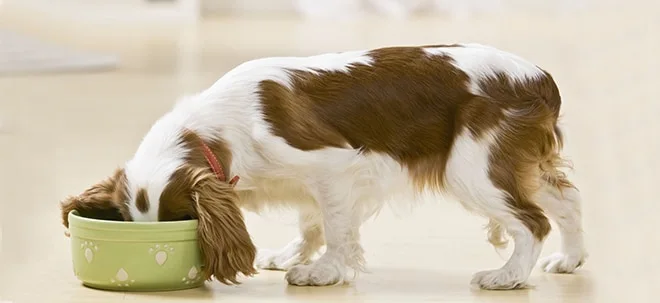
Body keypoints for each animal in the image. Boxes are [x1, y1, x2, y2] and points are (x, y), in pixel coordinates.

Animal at [60, 44, 588, 290]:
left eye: (183, 221)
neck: (219, 128)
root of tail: (540, 78)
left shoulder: (332, 167)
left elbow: (335, 227)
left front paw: (323, 272)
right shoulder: (308, 183)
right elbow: (311, 221)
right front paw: (295, 254)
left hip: (473, 168)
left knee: (532, 222)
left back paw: (508, 277)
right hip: (517, 163)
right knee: (566, 200)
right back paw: (570, 259)